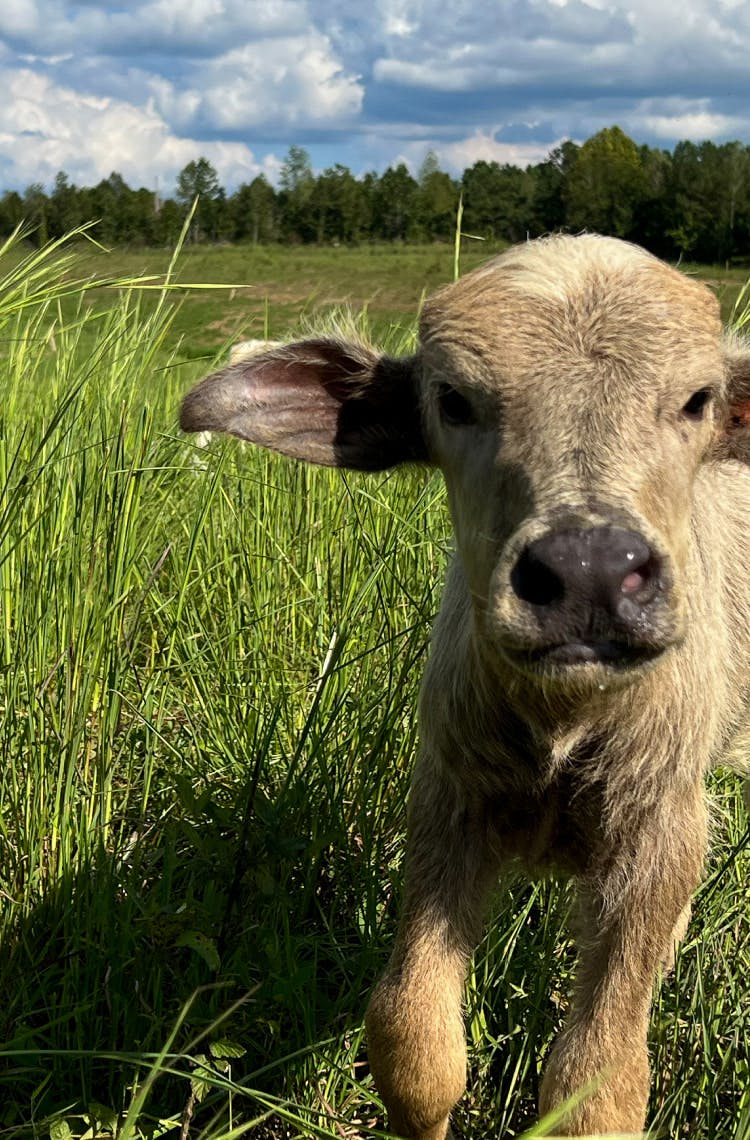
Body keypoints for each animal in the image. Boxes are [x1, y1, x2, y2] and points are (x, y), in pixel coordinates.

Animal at [181, 235, 747, 1135]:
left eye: (699, 400)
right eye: (453, 400)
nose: (590, 571)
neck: (563, 724)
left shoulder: (660, 828)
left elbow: (597, 1086)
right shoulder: (448, 800)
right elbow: (413, 1042)